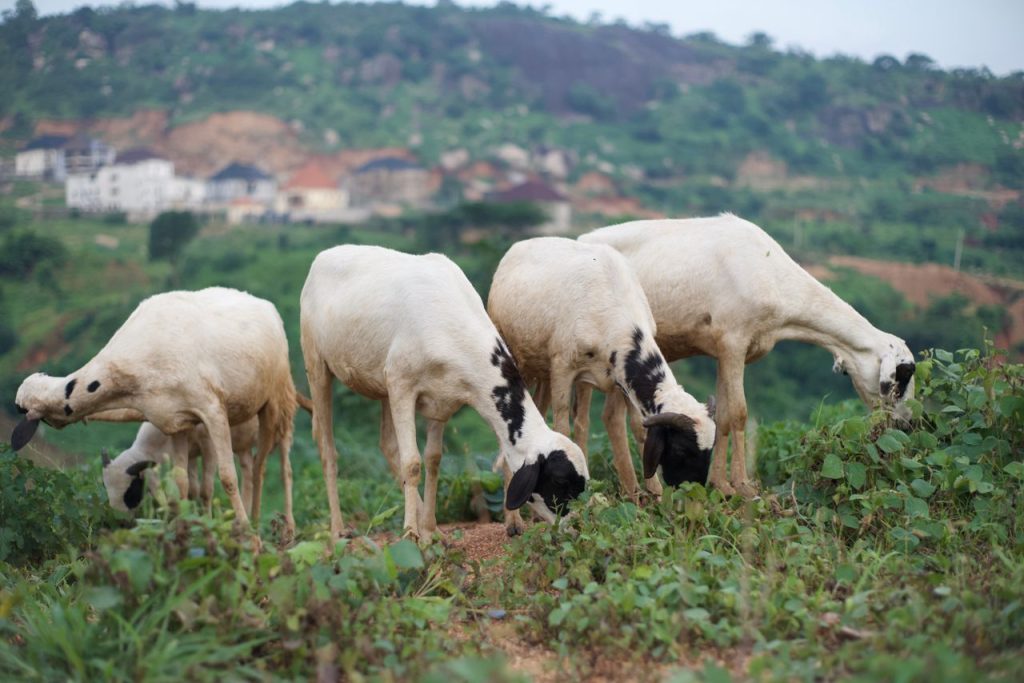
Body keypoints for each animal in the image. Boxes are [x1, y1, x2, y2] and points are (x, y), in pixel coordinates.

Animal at [12, 287, 302, 540]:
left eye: (132, 490)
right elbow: (182, 483)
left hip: (278, 400)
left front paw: (250, 542)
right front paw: (188, 532)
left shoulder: (212, 410)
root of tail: (261, 302)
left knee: (276, 465)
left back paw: (278, 529)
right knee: (255, 466)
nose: (118, 523)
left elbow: (227, 478)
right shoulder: (177, 421)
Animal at [299, 244, 589, 540]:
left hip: (381, 384)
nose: (576, 529)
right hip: (316, 364)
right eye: (560, 481)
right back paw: (338, 529)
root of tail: (327, 253)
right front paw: (411, 534)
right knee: (327, 450)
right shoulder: (401, 385)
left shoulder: (441, 401)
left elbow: (433, 460)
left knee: (387, 445)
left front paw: (430, 530)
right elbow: (412, 463)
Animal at [487, 237, 715, 502]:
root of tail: (522, 244)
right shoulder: (563, 367)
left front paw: (650, 493)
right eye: (680, 448)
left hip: (549, 371)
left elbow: (634, 427)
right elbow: (563, 426)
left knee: (567, 419)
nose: (693, 491)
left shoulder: (620, 377)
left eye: (710, 449)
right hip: (518, 357)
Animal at [579, 214, 916, 497]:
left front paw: (721, 484)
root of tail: (583, 239)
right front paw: (742, 485)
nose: (907, 427)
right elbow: (740, 412)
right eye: (901, 379)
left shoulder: (723, 351)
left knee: (604, 417)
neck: (773, 277)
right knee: (601, 418)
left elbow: (725, 416)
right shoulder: (733, 342)